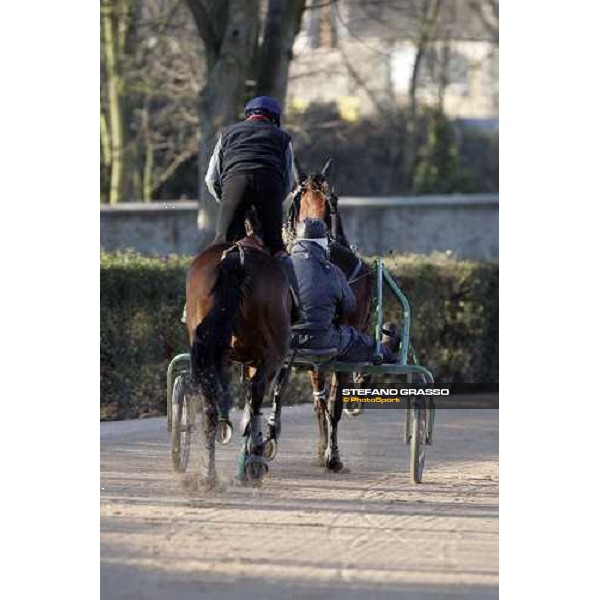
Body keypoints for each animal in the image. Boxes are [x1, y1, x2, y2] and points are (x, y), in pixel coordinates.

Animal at [186, 234, 292, 488]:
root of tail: (234, 256)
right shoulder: (263, 359)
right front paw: (253, 454)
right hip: (274, 353)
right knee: (256, 391)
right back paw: (254, 460)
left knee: (209, 399)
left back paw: (208, 472)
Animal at [282, 159, 376, 474]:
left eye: (333, 200)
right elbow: (324, 400)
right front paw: (328, 452)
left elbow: (327, 400)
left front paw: (328, 452)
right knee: (325, 399)